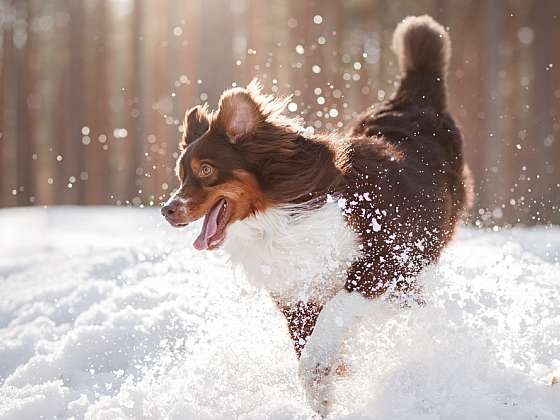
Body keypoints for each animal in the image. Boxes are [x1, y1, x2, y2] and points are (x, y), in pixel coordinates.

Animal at [163, 14, 472, 416]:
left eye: (205, 170)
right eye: (180, 174)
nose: (167, 210)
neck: (280, 217)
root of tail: (413, 97)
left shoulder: (383, 263)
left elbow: (331, 322)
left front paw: (322, 374)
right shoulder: (297, 296)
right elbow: (308, 345)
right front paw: (324, 390)